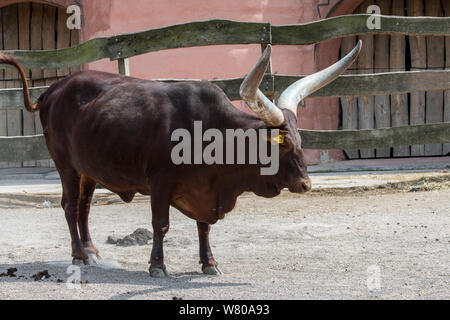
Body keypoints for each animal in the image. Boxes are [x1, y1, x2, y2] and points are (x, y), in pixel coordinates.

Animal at [0, 42, 360, 278]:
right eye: (281, 144)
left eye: (300, 141)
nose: (306, 184)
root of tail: (55, 88)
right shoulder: (160, 183)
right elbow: (161, 224)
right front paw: (157, 266)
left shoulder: (204, 190)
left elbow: (204, 227)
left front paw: (209, 263)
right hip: (66, 166)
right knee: (70, 205)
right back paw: (77, 255)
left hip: (88, 170)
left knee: (84, 208)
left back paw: (91, 251)